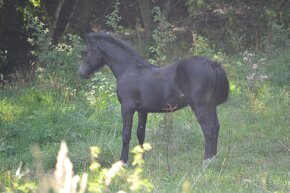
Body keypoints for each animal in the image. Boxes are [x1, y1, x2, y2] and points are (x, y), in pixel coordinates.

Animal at [80, 32, 229, 163]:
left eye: (86, 52)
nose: (81, 73)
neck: (129, 69)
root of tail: (212, 64)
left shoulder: (127, 108)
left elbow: (126, 134)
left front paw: (123, 161)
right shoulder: (142, 110)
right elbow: (140, 133)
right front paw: (141, 160)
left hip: (200, 106)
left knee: (208, 129)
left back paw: (207, 160)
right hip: (210, 105)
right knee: (215, 127)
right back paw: (214, 158)